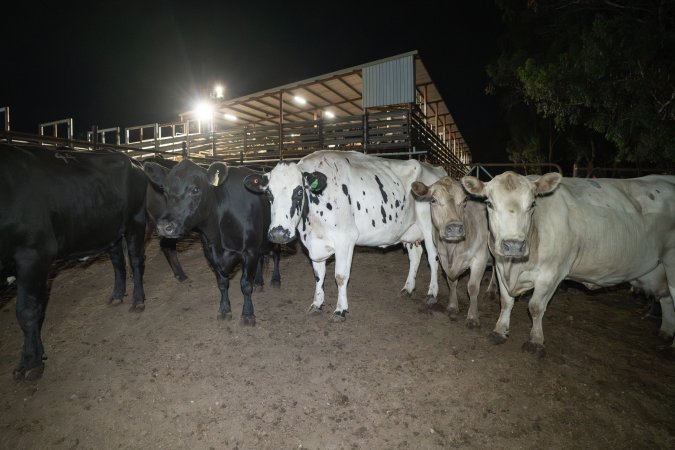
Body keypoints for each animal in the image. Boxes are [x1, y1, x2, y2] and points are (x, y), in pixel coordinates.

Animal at [0, 144, 148, 380]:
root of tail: (133, 160)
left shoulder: (33, 254)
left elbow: (27, 311)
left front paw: (30, 362)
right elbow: (37, 308)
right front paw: (38, 354)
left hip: (136, 220)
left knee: (135, 260)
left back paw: (138, 300)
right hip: (110, 228)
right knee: (118, 261)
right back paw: (117, 295)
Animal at [144, 158, 282, 324]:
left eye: (195, 189)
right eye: (164, 190)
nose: (164, 227)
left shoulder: (249, 250)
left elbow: (245, 284)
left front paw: (248, 314)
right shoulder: (210, 252)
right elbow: (222, 284)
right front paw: (224, 309)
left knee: (276, 255)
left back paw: (275, 280)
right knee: (262, 259)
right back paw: (259, 282)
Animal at [246, 150, 446, 320]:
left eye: (299, 191)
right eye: (269, 194)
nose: (278, 233)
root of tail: (436, 169)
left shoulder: (346, 238)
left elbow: (340, 276)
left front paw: (340, 310)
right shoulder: (314, 243)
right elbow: (319, 275)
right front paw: (317, 303)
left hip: (429, 226)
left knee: (433, 258)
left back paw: (432, 293)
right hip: (409, 230)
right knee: (415, 255)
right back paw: (408, 288)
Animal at [410, 176, 500, 326]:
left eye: (464, 201)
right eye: (433, 200)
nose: (455, 228)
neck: (452, 248)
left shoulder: (480, 258)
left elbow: (472, 287)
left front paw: (472, 317)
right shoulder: (442, 257)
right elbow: (451, 281)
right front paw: (452, 306)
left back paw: (492, 290)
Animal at [462, 172, 675, 356]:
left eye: (532, 204)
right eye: (489, 203)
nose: (513, 245)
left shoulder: (552, 273)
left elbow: (536, 307)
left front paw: (536, 341)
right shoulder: (500, 264)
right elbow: (506, 301)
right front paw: (500, 330)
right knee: (666, 299)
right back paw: (666, 332)